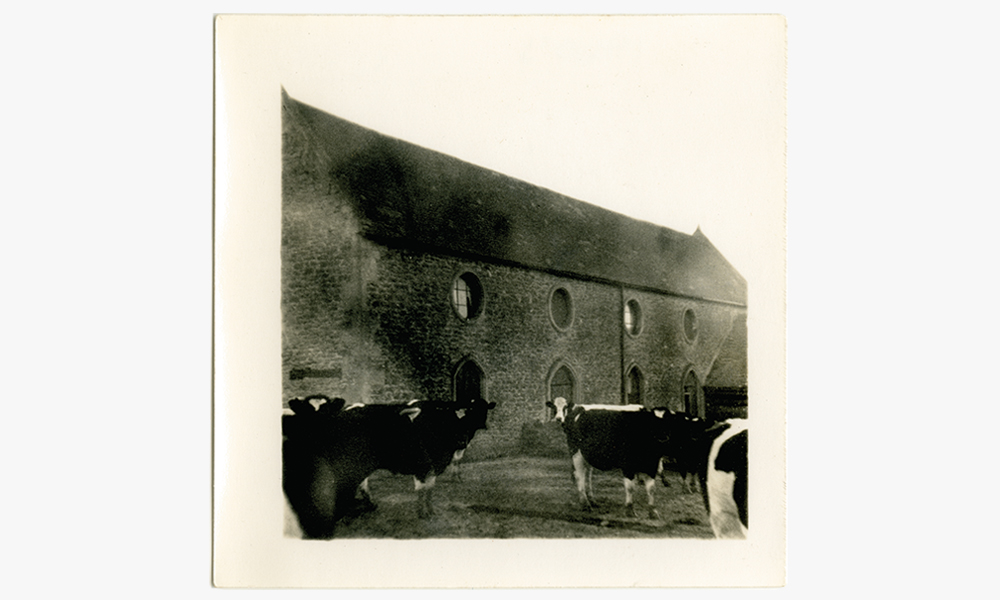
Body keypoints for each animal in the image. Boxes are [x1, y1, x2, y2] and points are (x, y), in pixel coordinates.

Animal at [284, 394, 494, 540]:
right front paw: (421, 513)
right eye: (453, 419)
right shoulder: (421, 463)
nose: (462, 441)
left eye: (478, 412)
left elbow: (430, 489)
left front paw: (430, 511)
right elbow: (421, 489)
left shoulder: (434, 464)